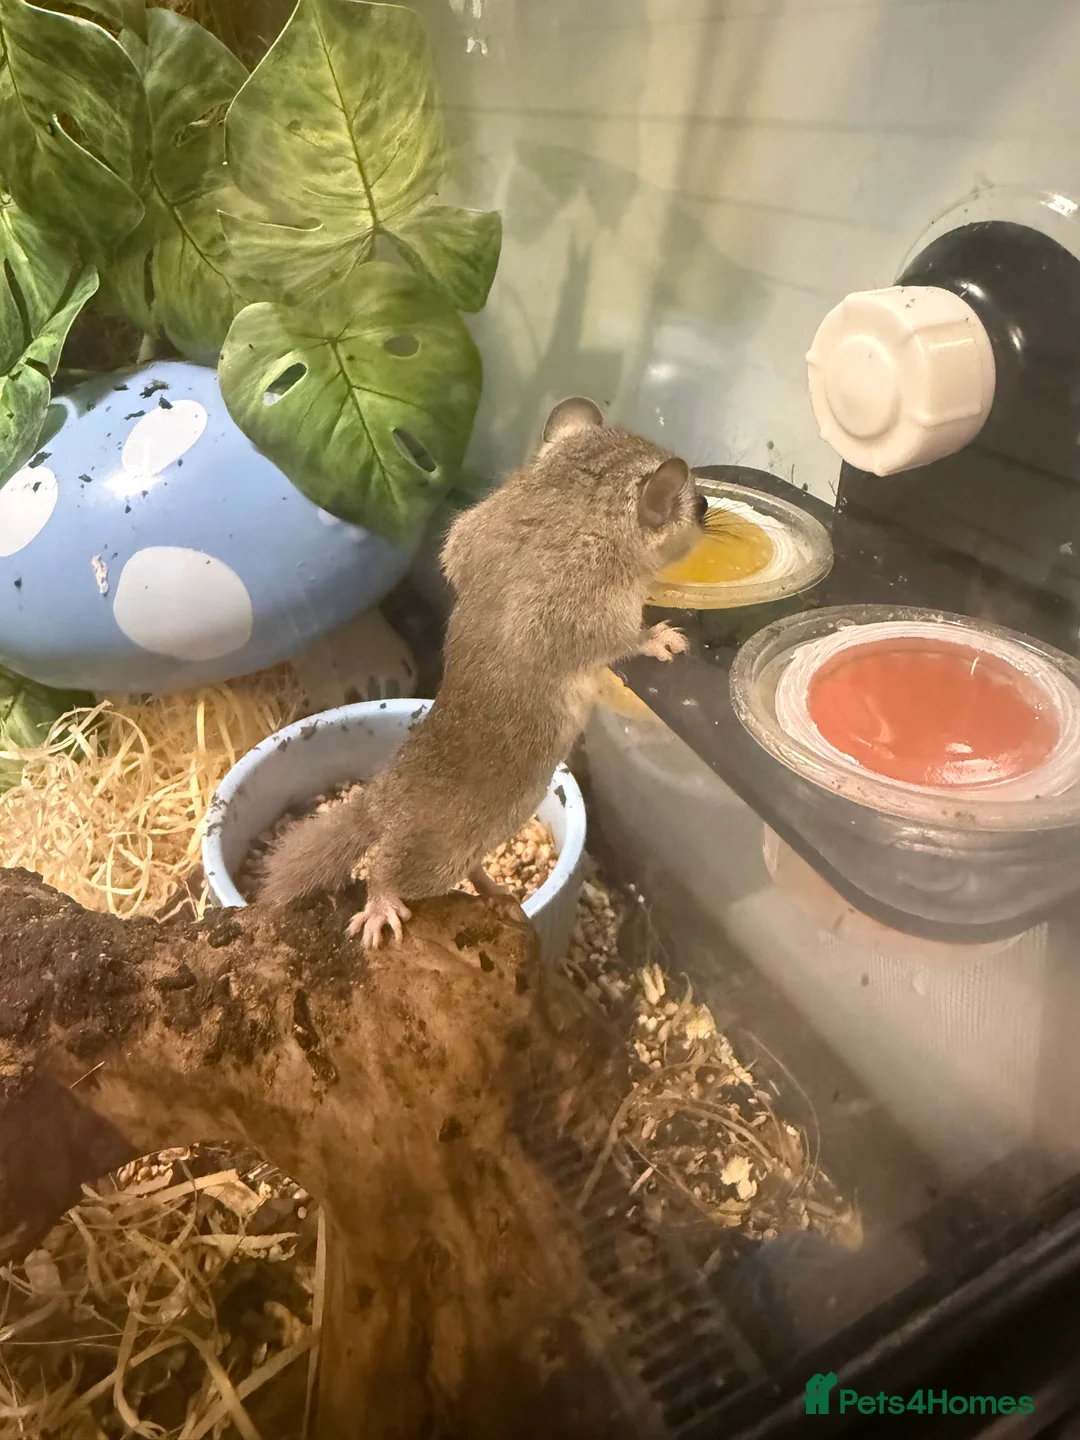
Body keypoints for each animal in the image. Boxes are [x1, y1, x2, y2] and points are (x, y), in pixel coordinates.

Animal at [257, 396, 707, 947]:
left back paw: (496, 893)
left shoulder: (472, 533)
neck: (568, 501)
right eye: (698, 504)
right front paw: (663, 638)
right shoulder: (592, 614)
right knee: (386, 869)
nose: (710, 512)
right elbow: (627, 641)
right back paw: (381, 907)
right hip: (435, 858)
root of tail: (379, 803)